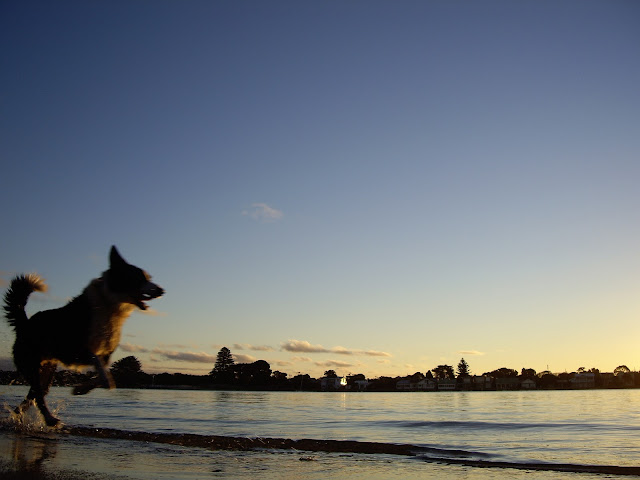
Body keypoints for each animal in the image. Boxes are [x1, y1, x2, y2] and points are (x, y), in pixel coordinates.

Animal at [2, 246, 164, 427]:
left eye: (148, 277)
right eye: (138, 278)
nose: (161, 290)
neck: (109, 304)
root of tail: (25, 323)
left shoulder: (105, 353)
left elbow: (105, 374)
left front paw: (80, 389)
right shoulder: (74, 350)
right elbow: (101, 369)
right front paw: (90, 386)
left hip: (47, 370)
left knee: (33, 396)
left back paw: (17, 417)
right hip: (32, 366)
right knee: (37, 395)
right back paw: (49, 419)